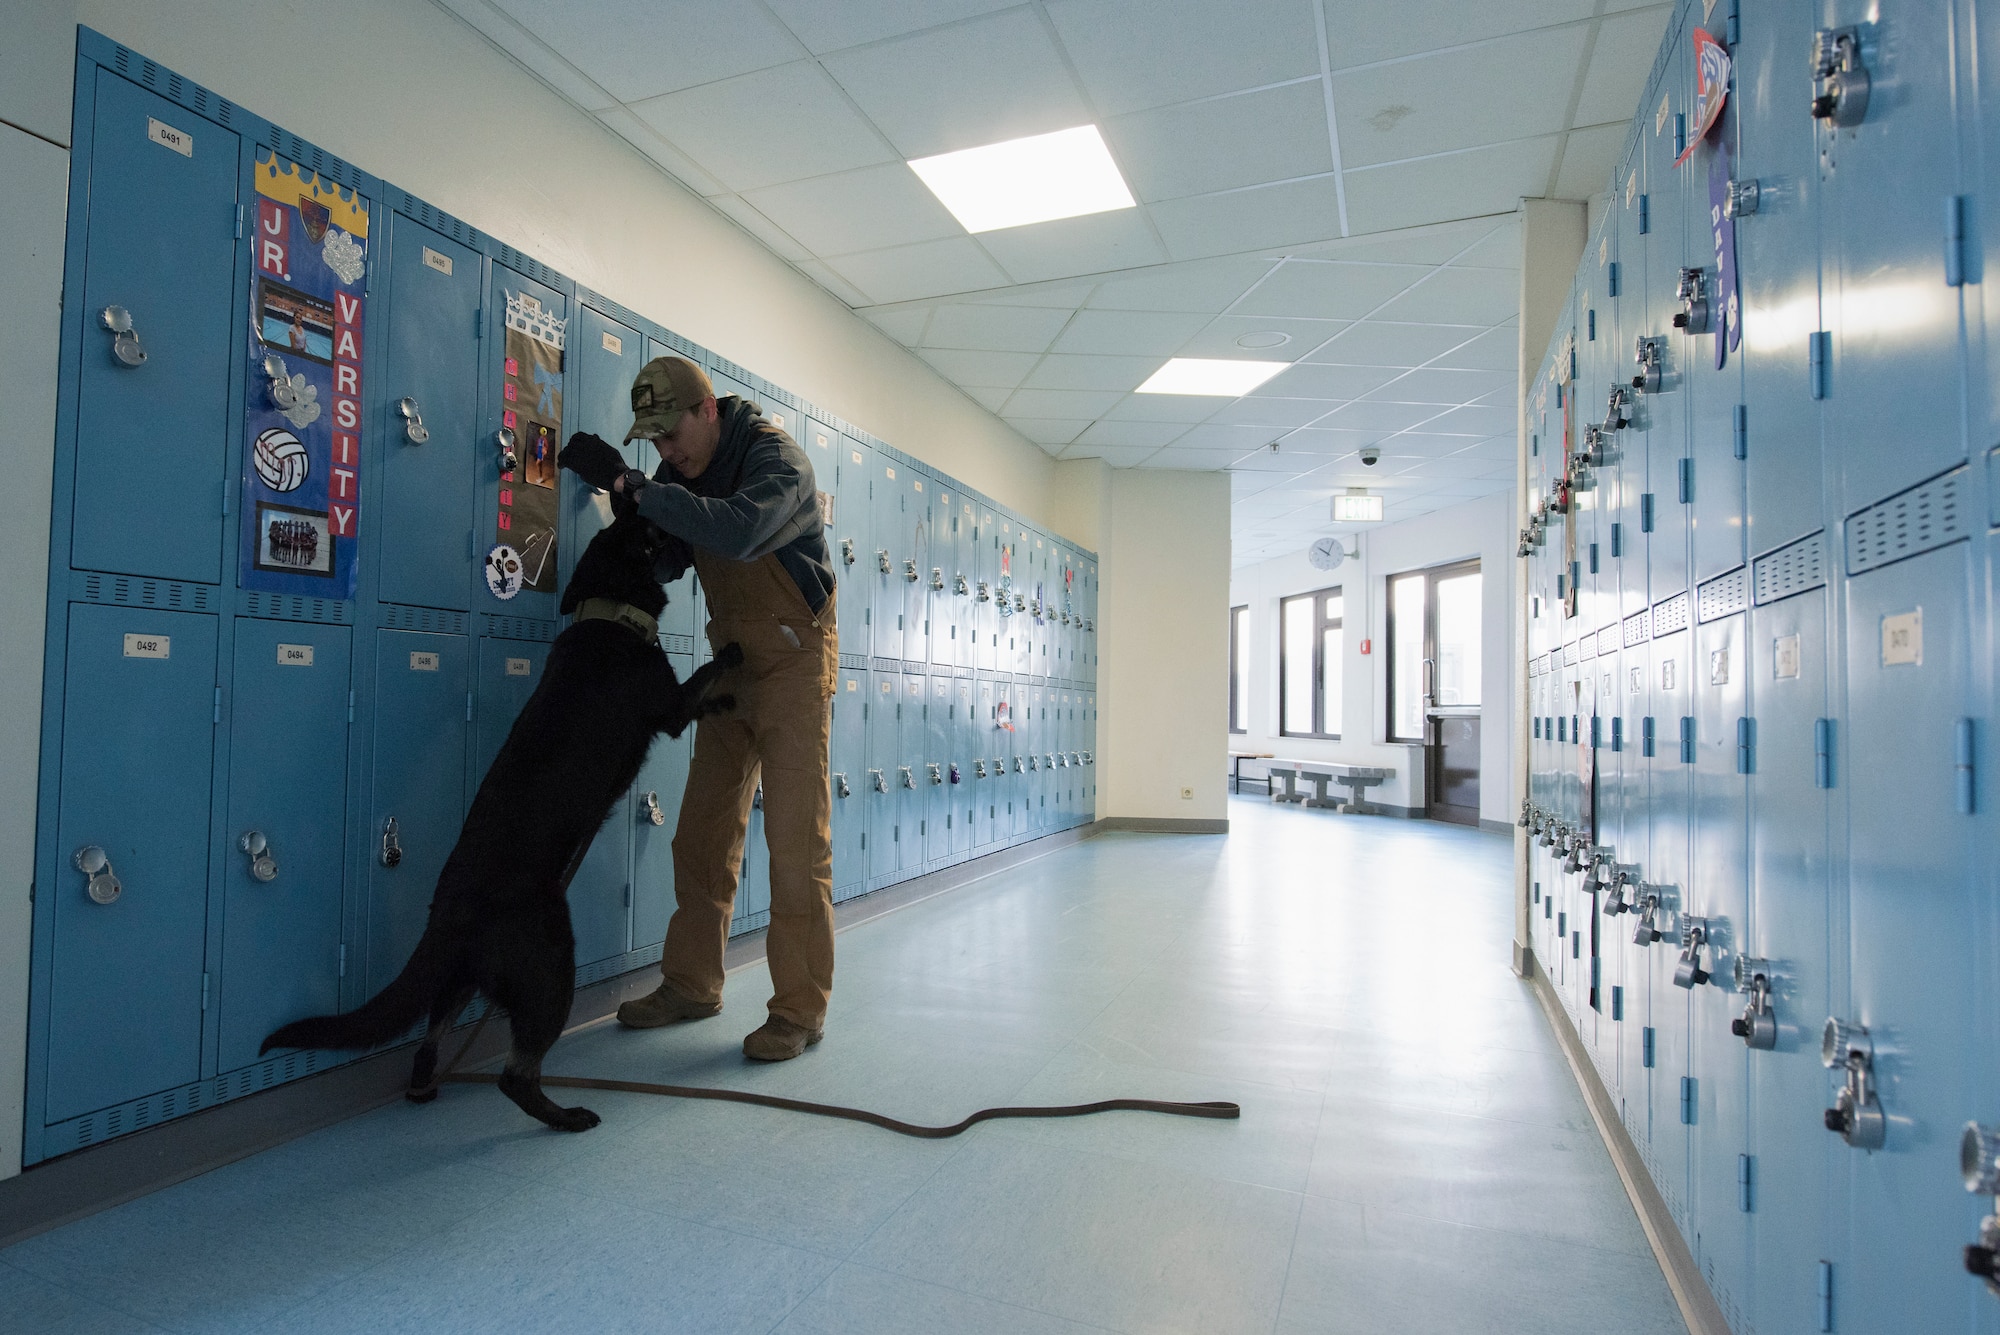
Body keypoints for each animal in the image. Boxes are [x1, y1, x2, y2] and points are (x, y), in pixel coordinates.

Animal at [260, 479, 736, 1127]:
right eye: (659, 532)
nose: (684, 514)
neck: (607, 610)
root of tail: (448, 909)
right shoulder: (669, 709)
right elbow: (704, 680)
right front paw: (732, 661)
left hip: (463, 978)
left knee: (429, 1040)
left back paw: (427, 1086)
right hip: (549, 966)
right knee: (516, 1074)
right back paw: (565, 1117)